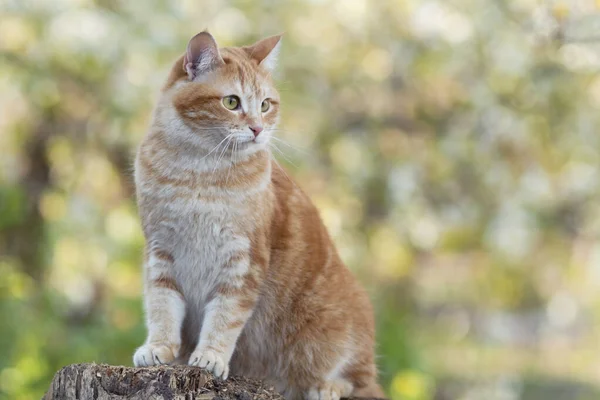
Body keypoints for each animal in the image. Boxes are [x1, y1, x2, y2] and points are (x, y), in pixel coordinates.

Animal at [133, 32, 382, 400]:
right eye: (231, 102)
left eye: (265, 105)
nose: (257, 129)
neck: (198, 171)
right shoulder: (161, 251)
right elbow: (162, 306)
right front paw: (160, 348)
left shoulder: (244, 260)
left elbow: (225, 316)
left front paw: (210, 356)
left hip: (335, 328)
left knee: (358, 382)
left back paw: (327, 386)